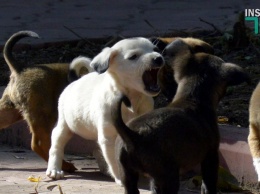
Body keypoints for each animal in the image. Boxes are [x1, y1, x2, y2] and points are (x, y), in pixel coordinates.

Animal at [46, 37, 165, 183]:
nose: (158, 58)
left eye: (155, 49)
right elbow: (115, 161)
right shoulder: (109, 138)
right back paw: (54, 169)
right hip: (64, 127)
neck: (130, 101)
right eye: (133, 57)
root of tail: (74, 82)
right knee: (56, 147)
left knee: (97, 150)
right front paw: (120, 177)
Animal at [110, 38, 249, 194]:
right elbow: (208, 185)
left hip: (129, 176)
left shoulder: (154, 179)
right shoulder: (211, 156)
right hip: (169, 176)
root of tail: (132, 135)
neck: (191, 97)